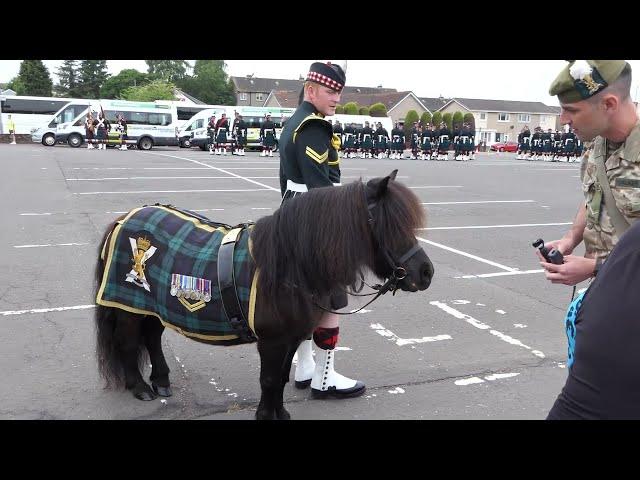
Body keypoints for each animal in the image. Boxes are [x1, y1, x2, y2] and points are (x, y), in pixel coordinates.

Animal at [95, 171, 436, 418]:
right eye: (391, 224)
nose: (426, 272)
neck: (289, 263)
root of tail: (125, 218)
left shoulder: (291, 338)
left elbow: (282, 377)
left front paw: (280, 413)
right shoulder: (271, 341)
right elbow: (270, 379)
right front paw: (265, 415)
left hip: (150, 306)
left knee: (152, 338)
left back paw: (162, 382)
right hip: (128, 306)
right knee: (128, 342)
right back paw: (140, 387)